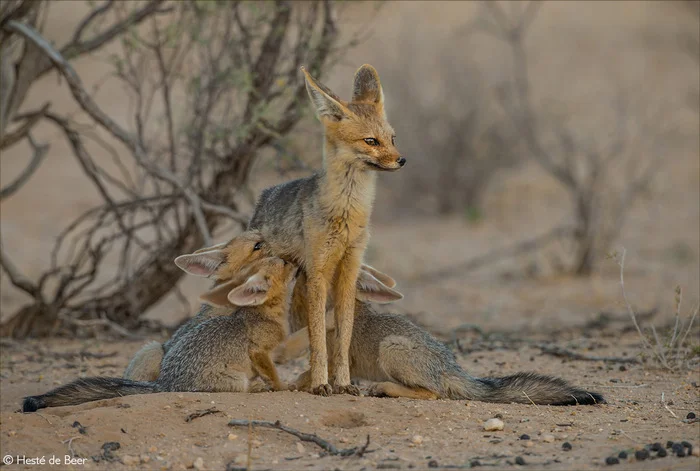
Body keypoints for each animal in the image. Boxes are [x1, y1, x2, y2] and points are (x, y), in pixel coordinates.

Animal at [21, 258, 296, 412]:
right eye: (284, 263)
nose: (295, 262)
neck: (267, 313)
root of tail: (165, 383)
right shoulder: (260, 351)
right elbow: (273, 374)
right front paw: (284, 386)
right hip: (236, 380)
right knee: (243, 389)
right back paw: (257, 388)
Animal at [243, 62, 404, 394]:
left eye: (392, 139)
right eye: (371, 141)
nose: (401, 160)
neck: (347, 214)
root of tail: (265, 195)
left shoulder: (348, 272)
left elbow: (342, 338)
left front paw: (342, 382)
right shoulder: (319, 272)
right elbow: (318, 339)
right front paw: (320, 383)